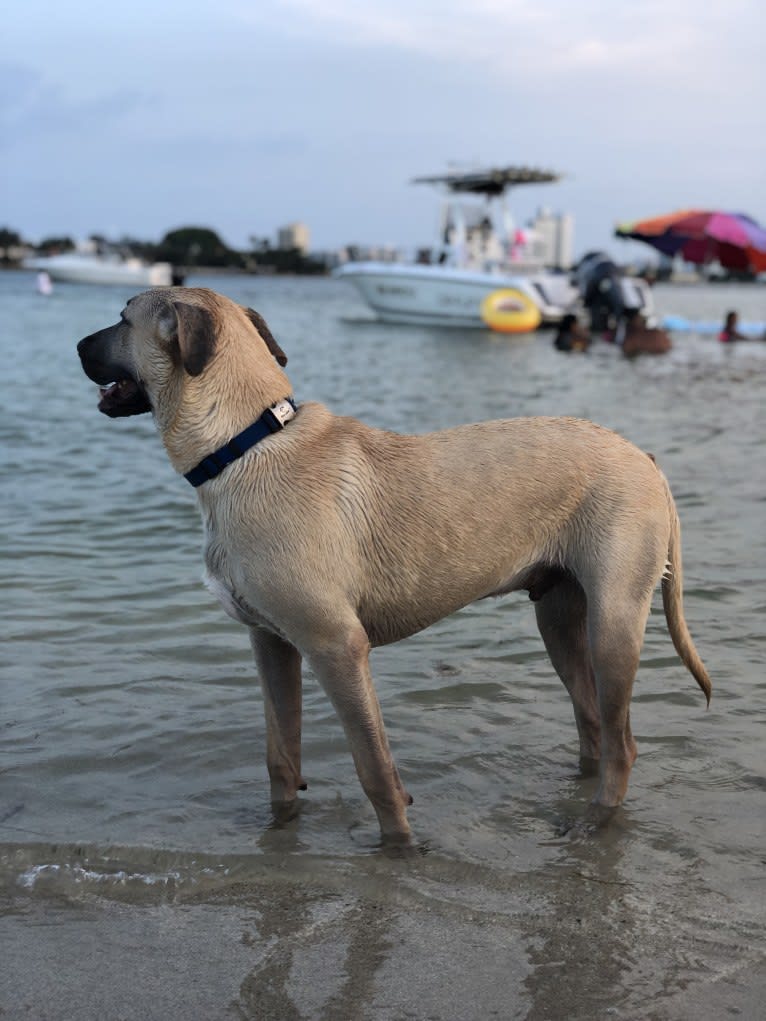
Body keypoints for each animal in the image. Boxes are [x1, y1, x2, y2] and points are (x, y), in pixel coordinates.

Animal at [78, 289, 714, 845]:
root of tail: (645, 459)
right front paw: (281, 830)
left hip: (613, 624)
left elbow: (375, 769)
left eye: (123, 318)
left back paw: (594, 822)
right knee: (592, 727)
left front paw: (399, 848)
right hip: (559, 622)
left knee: (621, 744)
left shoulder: (338, 649)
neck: (244, 443)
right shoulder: (273, 646)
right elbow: (281, 758)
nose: (78, 344)